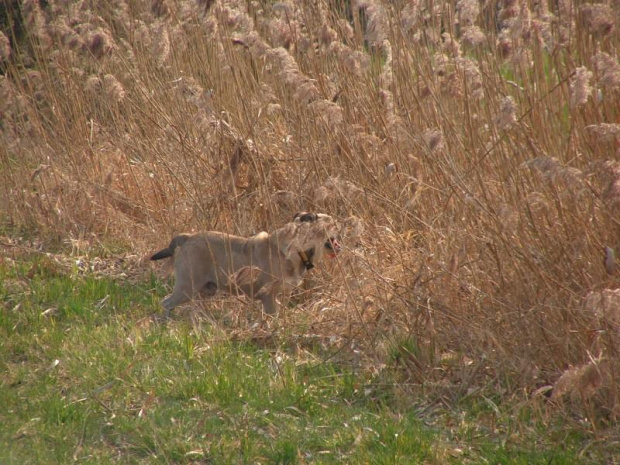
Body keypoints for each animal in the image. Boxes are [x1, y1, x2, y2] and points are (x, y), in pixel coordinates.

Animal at [152, 213, 342, 316]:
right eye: (332, 224)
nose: (340, 228)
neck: (297, 248)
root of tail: (188, 237)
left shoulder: (281, 295)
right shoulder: (268, 296)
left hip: (203, 290)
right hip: (186, 288)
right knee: (165, 303)